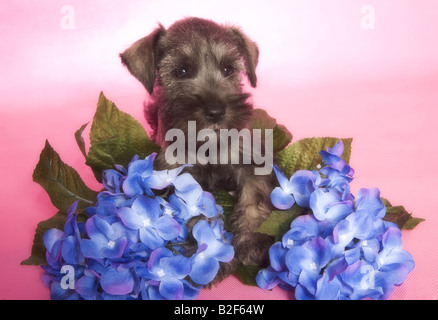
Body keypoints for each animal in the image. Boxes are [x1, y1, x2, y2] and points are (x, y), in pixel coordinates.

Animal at [120, 16, 276, 278]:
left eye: (228, 69)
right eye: (181, 71)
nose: (216, 111)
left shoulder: (250, 162)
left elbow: (254, 202)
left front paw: (253, 243)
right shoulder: (181, 173)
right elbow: (198, 213)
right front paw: (213, 254)